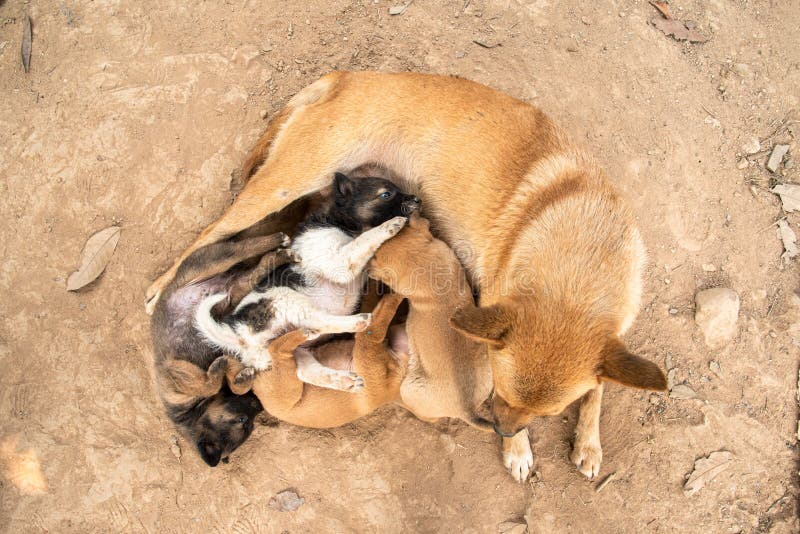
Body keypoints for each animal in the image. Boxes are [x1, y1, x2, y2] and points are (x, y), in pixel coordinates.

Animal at [195, 174, 418, 374]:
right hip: (285, 298)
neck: (341, 222)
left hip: (285, 352)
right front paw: (390, 225)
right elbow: (366, 238)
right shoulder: (338, 262)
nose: (417, 199)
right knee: (317, 319)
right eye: (386, 194)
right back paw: (358, 320)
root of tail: (235, 331)